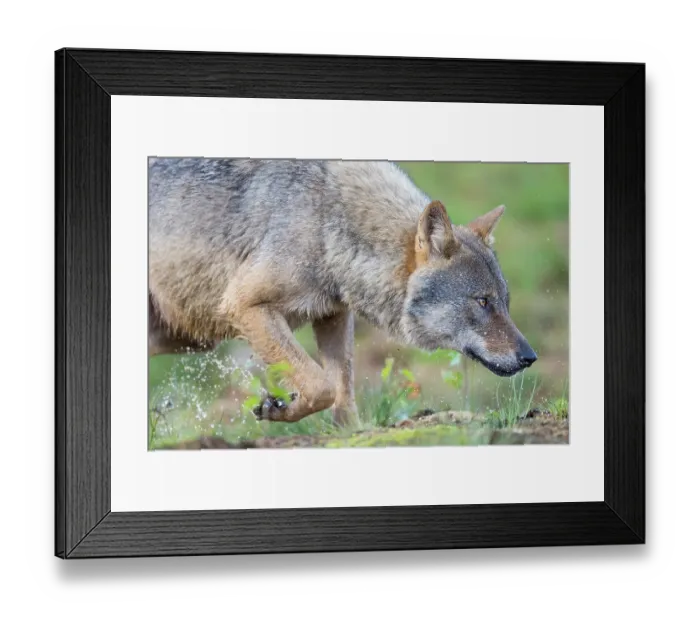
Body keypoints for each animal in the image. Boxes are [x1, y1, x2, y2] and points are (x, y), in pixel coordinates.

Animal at [148, 158, 537, 426]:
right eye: (482, 302)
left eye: (504, 303)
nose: (529, 357)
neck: (328, 221)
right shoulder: (244, 305)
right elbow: (323, 386)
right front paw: (278, 408)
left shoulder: (333, 315)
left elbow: (342, 393)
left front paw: (346, 433)